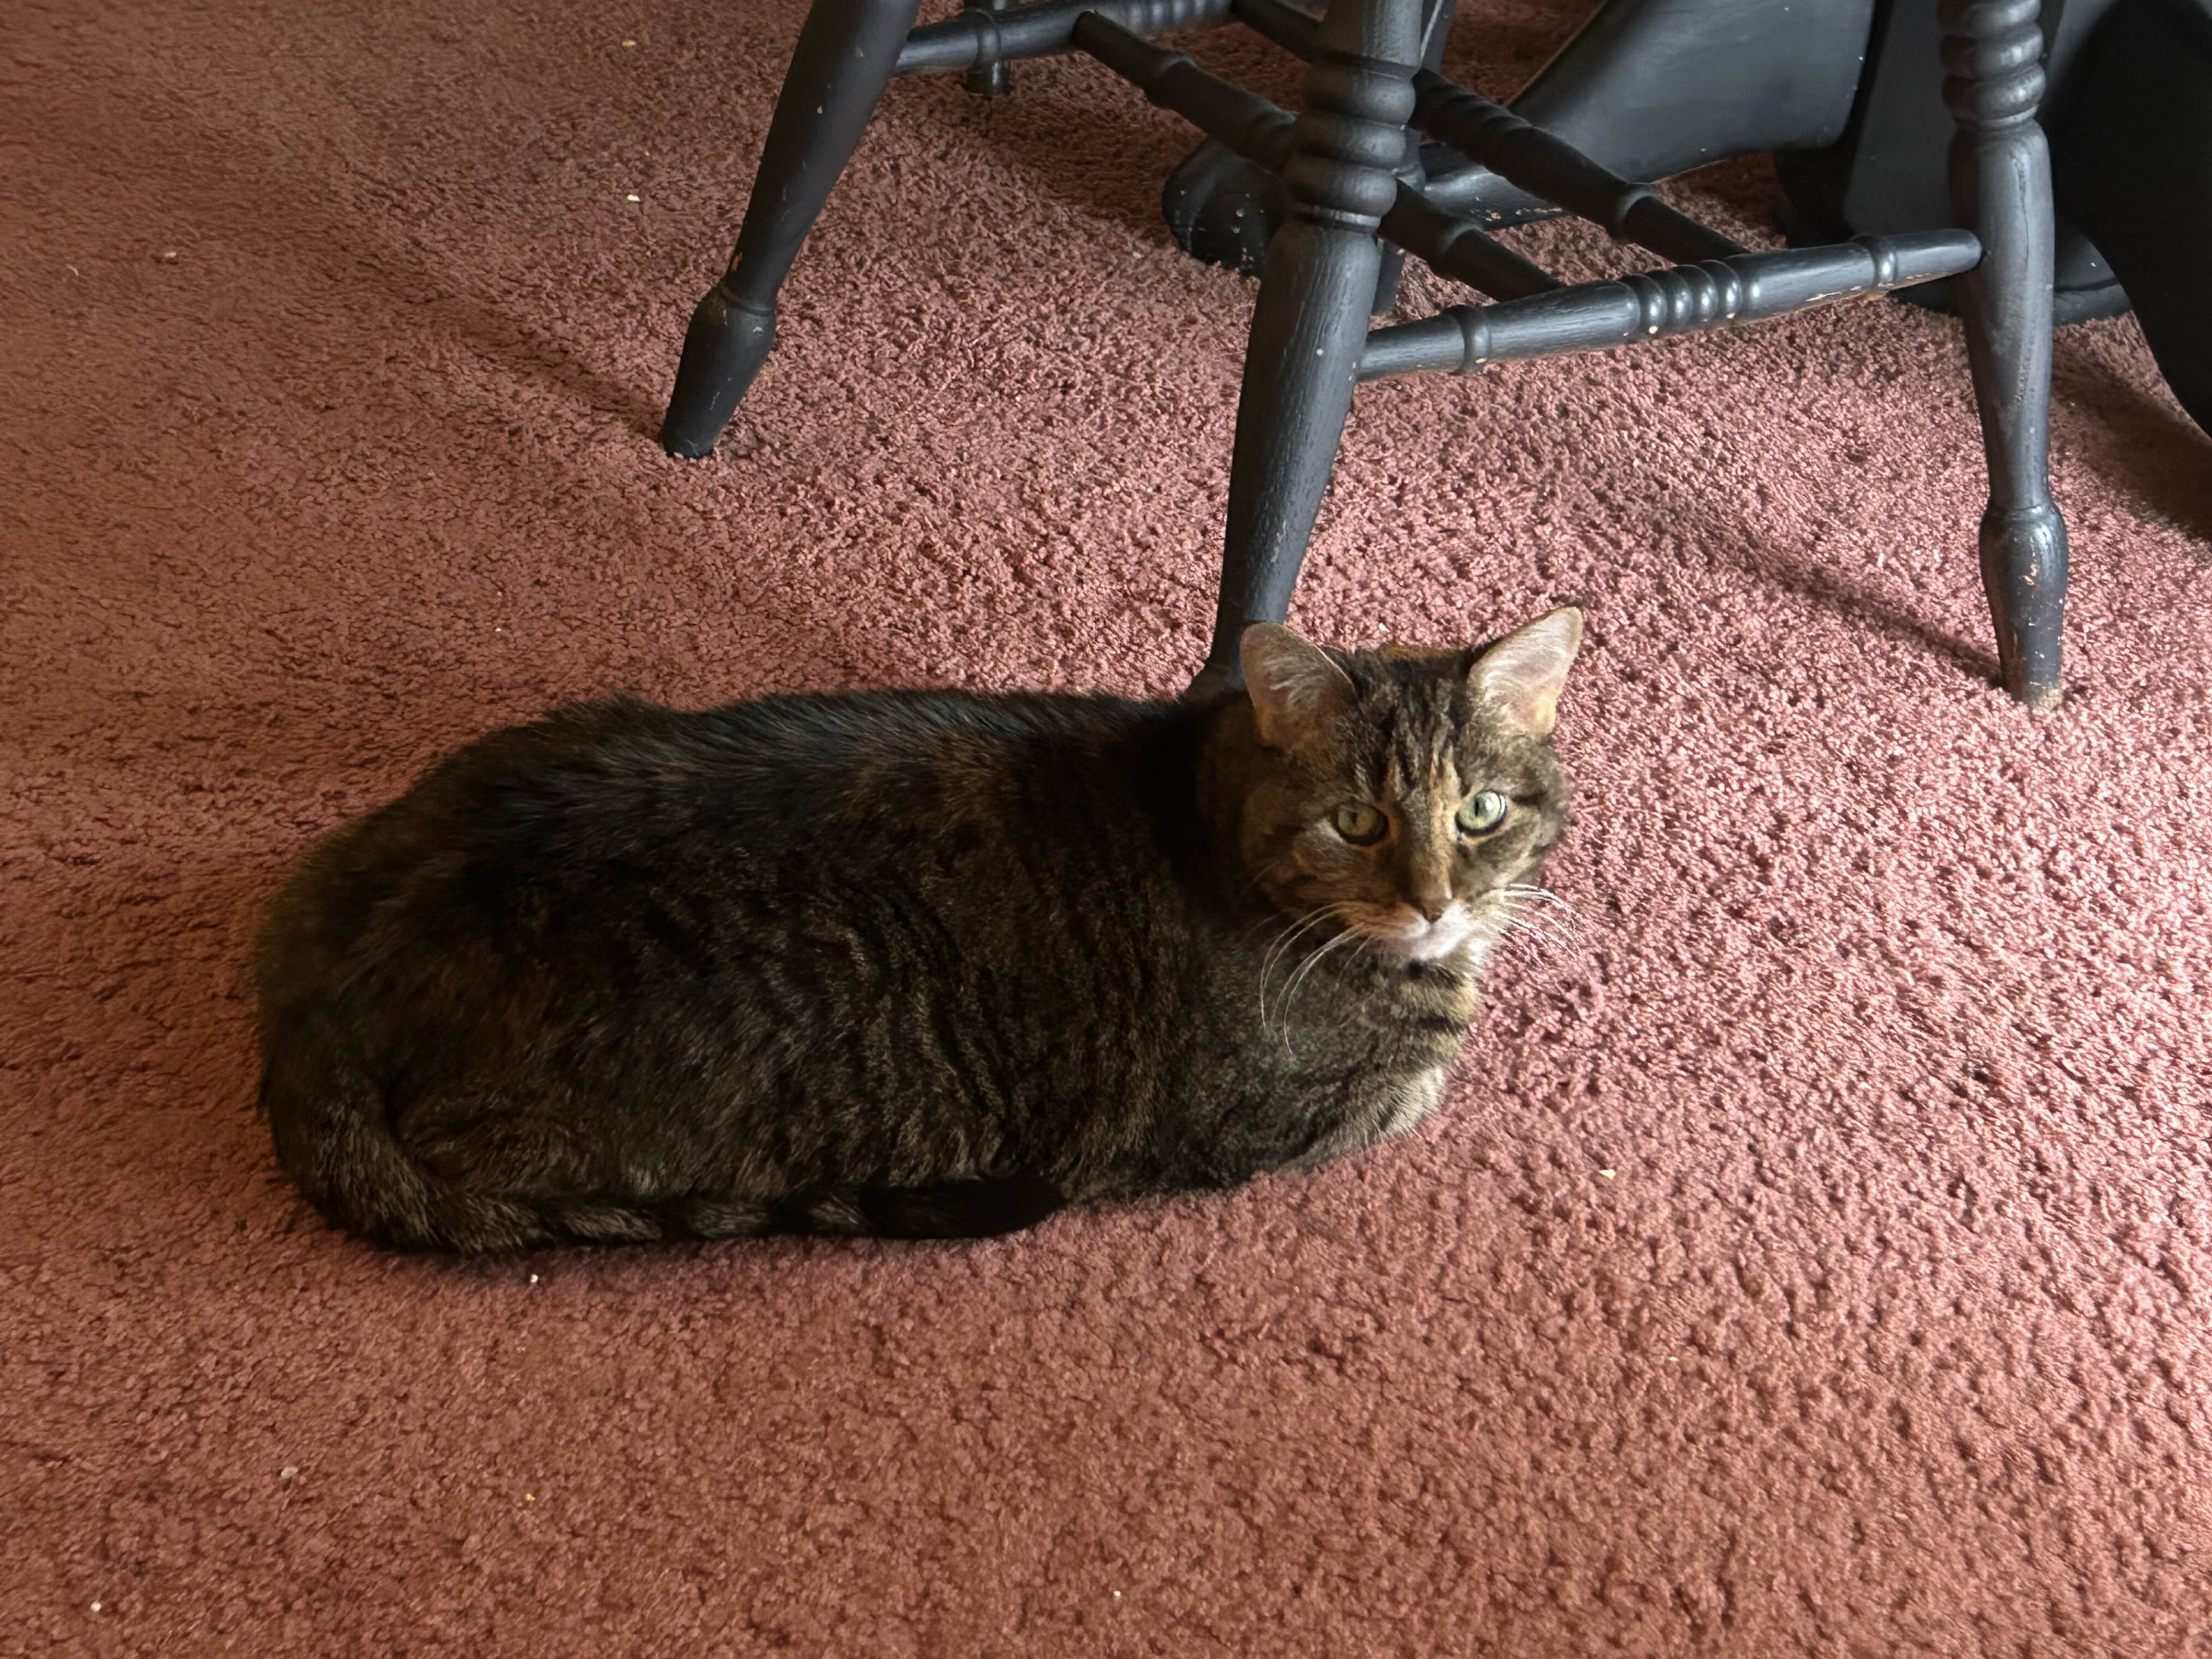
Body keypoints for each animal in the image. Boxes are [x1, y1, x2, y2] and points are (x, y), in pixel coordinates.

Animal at [254, 619, 1575, 1256]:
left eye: (1480, 810)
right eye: (1357, 820)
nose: (1434, 900)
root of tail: (311, 990)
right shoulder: (1296, 1113)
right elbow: (1410, 1090)